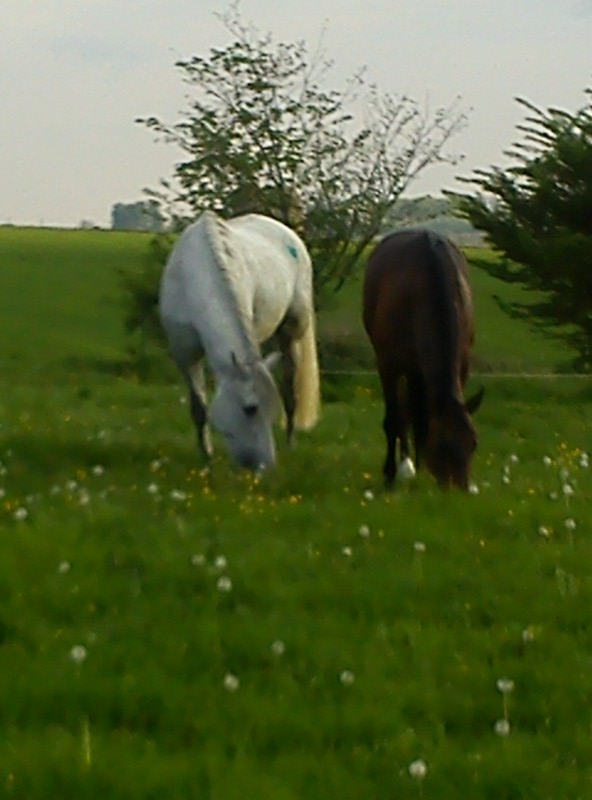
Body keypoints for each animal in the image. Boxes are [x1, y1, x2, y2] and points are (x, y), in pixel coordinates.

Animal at [159, 211, 320, 471]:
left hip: (291, 334)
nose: (266, 466)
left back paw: (290, 443)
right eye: (250, 409)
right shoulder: (185, 354)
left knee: (290, 391)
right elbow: (199, 408)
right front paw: (206, 456)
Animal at [362, 228, 483, 489]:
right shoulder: (388, 364)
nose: (461, 490)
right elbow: (393, 418)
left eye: (473, 442)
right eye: (443, 445)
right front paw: (390, 474)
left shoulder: (462, 365)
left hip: (417, 370)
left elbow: (421, 417)